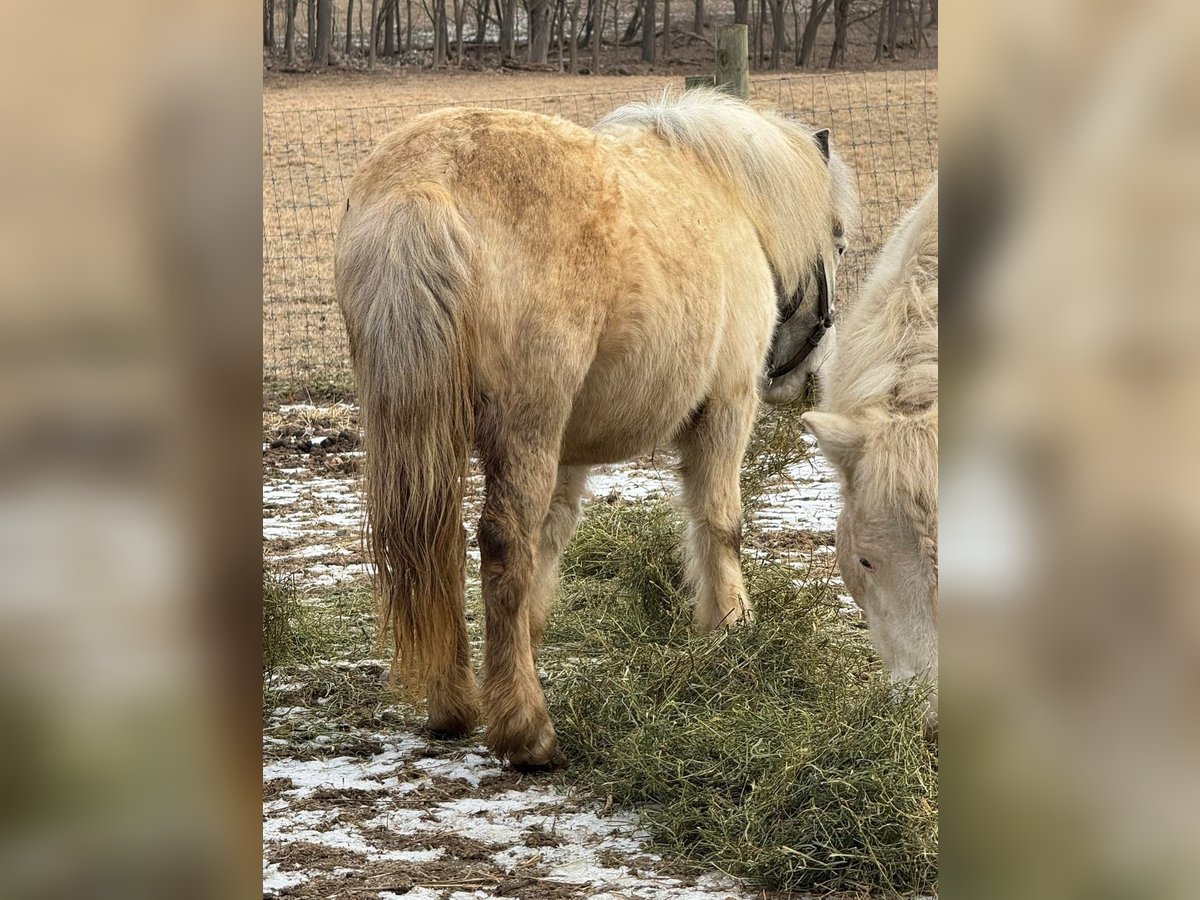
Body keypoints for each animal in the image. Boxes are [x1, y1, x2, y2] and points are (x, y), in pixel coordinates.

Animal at [338, 90, 859, 768]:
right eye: (839, 243)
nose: (811, 380)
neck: (727, 193)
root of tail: (424, 182)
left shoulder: (569, 452)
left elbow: (551, 542)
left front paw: (523, 650)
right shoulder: (726, 408)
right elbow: (721, 523)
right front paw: (732, 626)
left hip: (429, 436)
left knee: (437, 543)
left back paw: (455, 706)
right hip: (523, 427)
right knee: (502, 543)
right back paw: (527, 732)